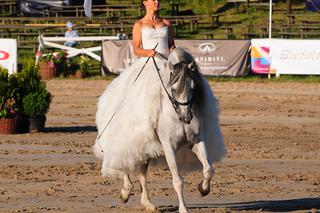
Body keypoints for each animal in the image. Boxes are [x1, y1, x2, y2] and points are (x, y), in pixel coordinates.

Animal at [95, 47, 225, 213]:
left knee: (141, 172)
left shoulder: (196, 141)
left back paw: (147, 203)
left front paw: (203, 189)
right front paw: (183, 209)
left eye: (193, 87)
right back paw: (125, 192)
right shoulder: (169, 147)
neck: (175, 113)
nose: (186, 117)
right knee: (122, 159)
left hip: (146, 148)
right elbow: (177, 180)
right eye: (174, 89)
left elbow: (208, 169)